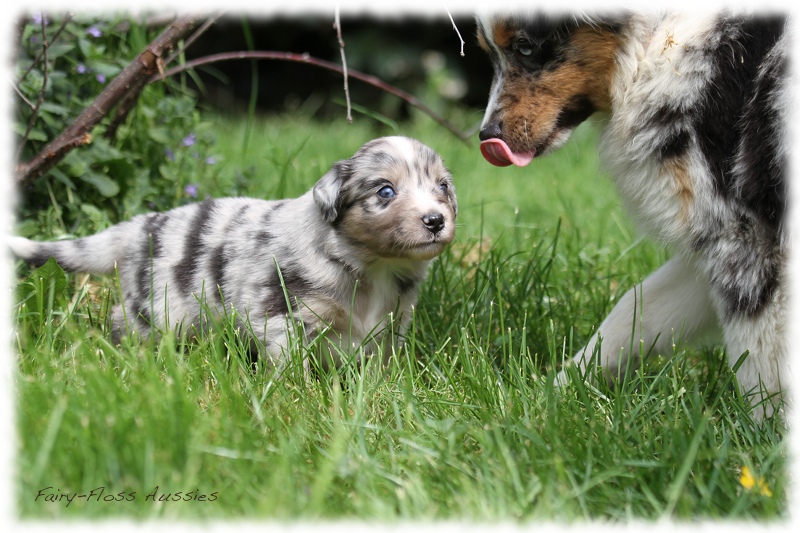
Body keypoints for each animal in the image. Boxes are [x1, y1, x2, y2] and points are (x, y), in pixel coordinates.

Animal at [10, 137, 456, 368]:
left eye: (443, 187)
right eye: (385, 191)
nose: (435, 221)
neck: (375, 265)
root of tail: (139, 226)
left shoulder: (393, 321)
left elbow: (382, 360)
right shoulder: (282, 314)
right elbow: (288, 362)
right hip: (157, 306)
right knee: (125, 321)